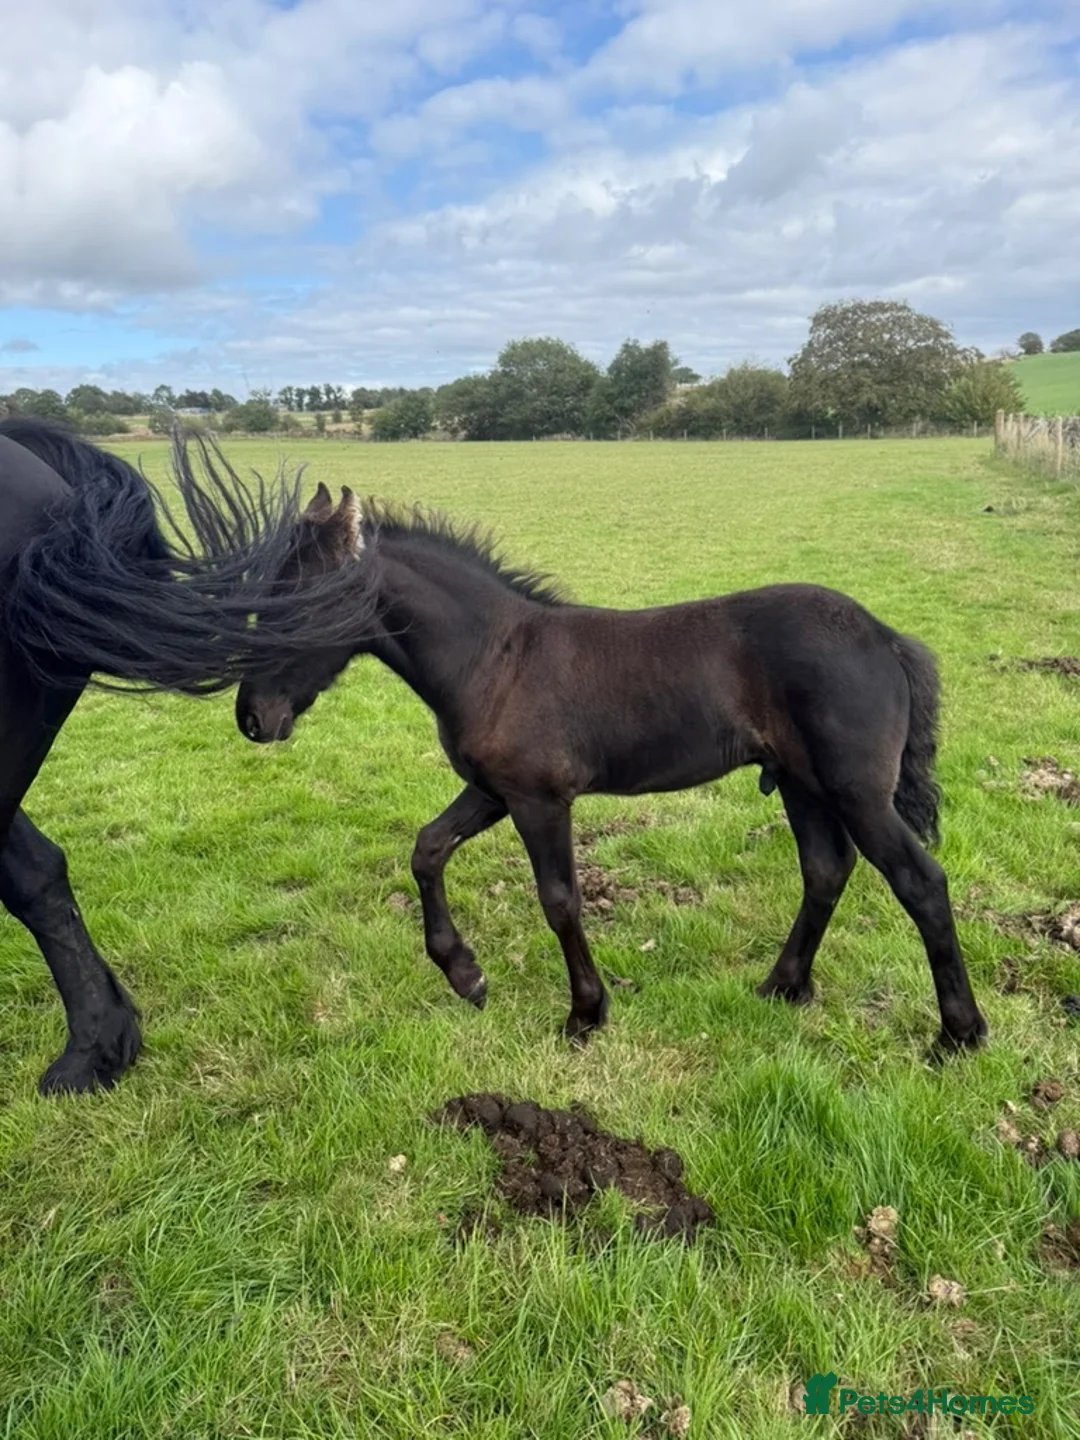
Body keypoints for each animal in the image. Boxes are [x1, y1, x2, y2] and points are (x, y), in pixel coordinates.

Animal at [235, 483, 988, 1054]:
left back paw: (959, 1034)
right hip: (802, 785)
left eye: (300, 607)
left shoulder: (540, 798)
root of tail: (885, 637)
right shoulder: (494, 790)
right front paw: (466, 975)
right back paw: (783, 986)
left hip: (856, 792)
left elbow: (559, 901)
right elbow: (427, 849)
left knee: (920, 881)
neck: (495, 658)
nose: (252, 717)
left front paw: (585, 1014)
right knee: (826, 871)